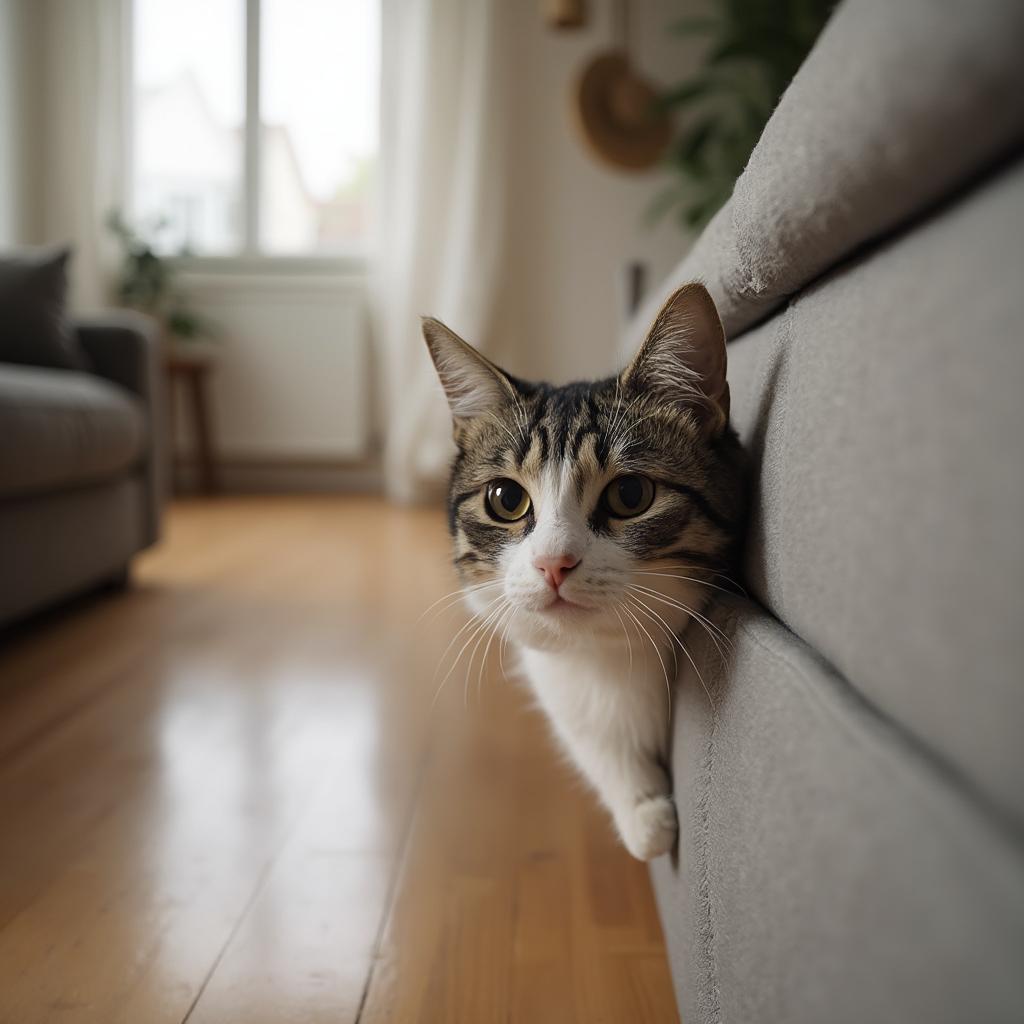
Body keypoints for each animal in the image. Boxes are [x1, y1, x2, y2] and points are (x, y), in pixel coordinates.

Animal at [423, 284, 745, 860]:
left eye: (631, 494)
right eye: (505, 499)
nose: (554, 562)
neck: (606, 656)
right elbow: (591, 739)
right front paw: (643, 812)